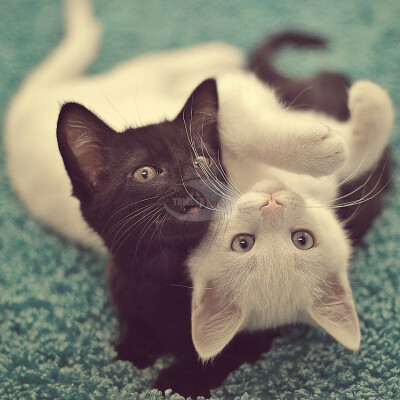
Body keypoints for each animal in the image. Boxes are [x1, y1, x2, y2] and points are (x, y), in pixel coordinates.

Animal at [188, 79, 394, 360]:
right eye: (243, 243)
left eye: (302, 240)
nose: (272, 204)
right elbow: (242, 125)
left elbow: (353, 159)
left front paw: (368, 109)